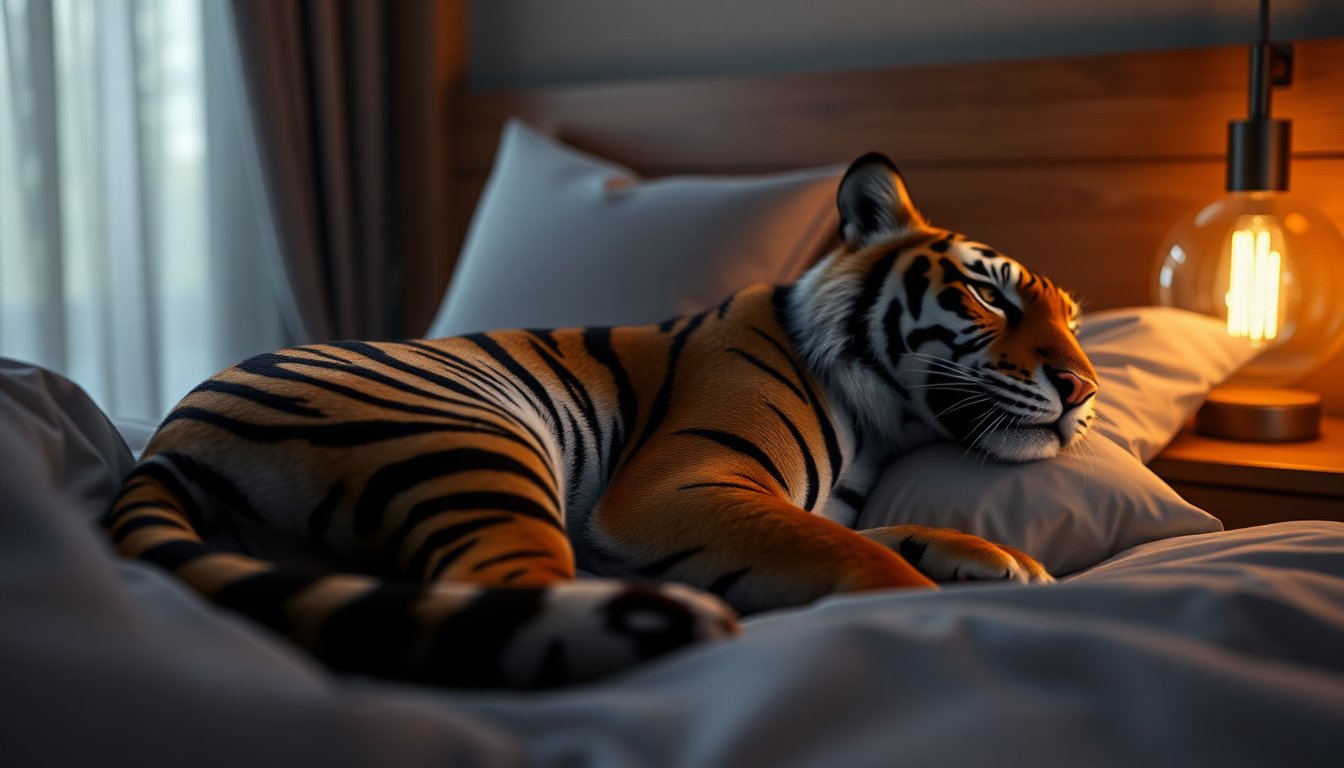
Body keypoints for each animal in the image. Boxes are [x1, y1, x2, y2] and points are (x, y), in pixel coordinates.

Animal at [104, 152, 1098, 689]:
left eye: (1076, 319)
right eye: (989, 295)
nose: (1083, 390)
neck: (878, 421)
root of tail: (168, 439)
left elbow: (872, 533)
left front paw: (1003, 560)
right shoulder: (677, 487)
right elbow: (865, 557)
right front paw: (927, 604)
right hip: (475, 439)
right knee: (500, 594)